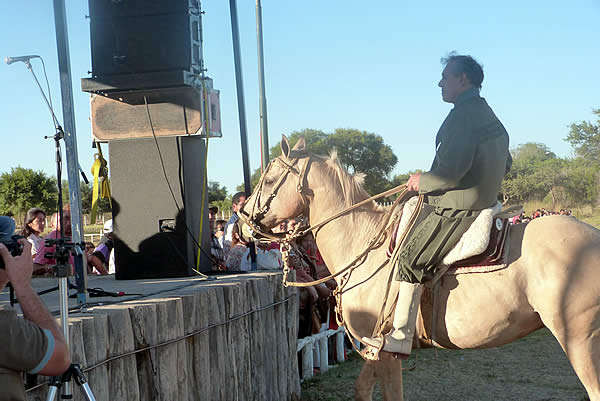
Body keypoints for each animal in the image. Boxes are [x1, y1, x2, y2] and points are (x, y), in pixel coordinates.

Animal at [243, 136, 600, 398]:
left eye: (270, 178)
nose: (245, 222)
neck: (363, 243)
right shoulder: (373, 350)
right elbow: (362, 389)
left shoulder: (385, 351)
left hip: (581, 342)